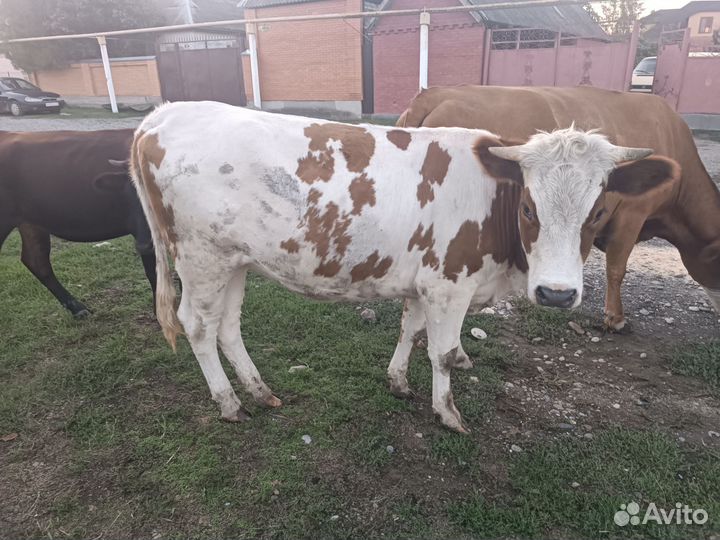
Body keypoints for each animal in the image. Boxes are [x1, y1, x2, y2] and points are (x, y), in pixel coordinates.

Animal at [131, 101, 667, 432]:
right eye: (529, 209)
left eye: (598, 211)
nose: (557, 293)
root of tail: (163, 115)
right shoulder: (449, 284)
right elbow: (444, 353)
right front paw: (448, 413)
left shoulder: (424, 282)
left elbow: (411, 331)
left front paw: (398, 381)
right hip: (201, 258)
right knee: (198, 327)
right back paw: (230, 402)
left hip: (236, 261)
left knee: (228, 327)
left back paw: (260, 391)